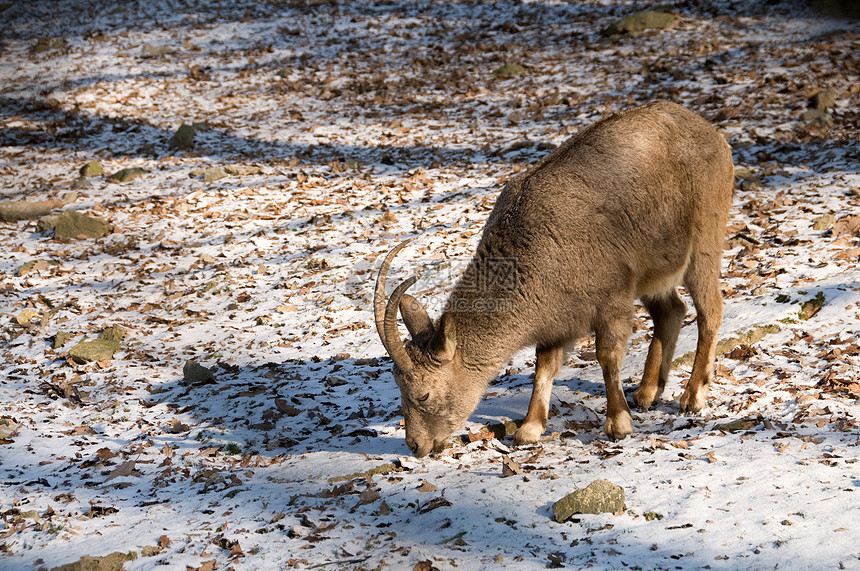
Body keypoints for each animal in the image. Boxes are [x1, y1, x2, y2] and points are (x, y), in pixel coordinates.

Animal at [372, 101, 736, 460]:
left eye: (423, 395)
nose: (416, 446)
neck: (535, 248)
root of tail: (713, 134)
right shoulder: (554, 318)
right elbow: (544, 366)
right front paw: (530, 429)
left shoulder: (612, 298)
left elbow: (607, 356)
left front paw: (618, 423)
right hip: (653, 272)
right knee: (671, 310)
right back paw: (648, 391)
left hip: (704, 240)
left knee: (710, 310)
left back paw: (692, 396)